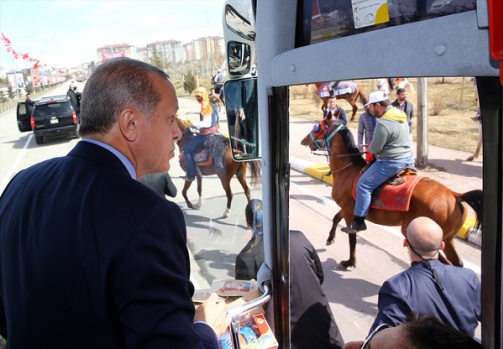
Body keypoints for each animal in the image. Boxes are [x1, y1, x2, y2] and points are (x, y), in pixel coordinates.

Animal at [302, 119, 482, 270]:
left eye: (317, 127)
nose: (304, 140)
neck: (348, 170)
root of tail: (454, 195)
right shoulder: (350, 208)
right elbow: (335, 218)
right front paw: (330, 238)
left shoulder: (349, 211)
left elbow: (351, 236)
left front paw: (350, 262)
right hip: (448, 239)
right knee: (457, 263)